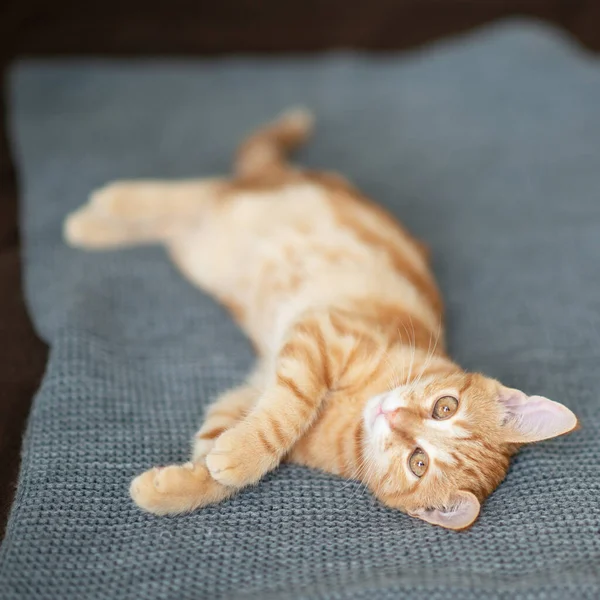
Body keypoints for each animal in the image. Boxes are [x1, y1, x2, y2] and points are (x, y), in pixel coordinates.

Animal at [64, 109, 576, 528]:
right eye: (444, 407)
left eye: (418, 462)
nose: (393, 416)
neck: (356, 412)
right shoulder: (324, 334)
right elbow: (286, 412)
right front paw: (239, 455)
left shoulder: (252, 388)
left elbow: (224, 441)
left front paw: (184, 480)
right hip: (265, 199)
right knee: (201, 190)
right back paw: (112, 203)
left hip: (196, 247)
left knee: (186, 216)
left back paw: (93, 227)